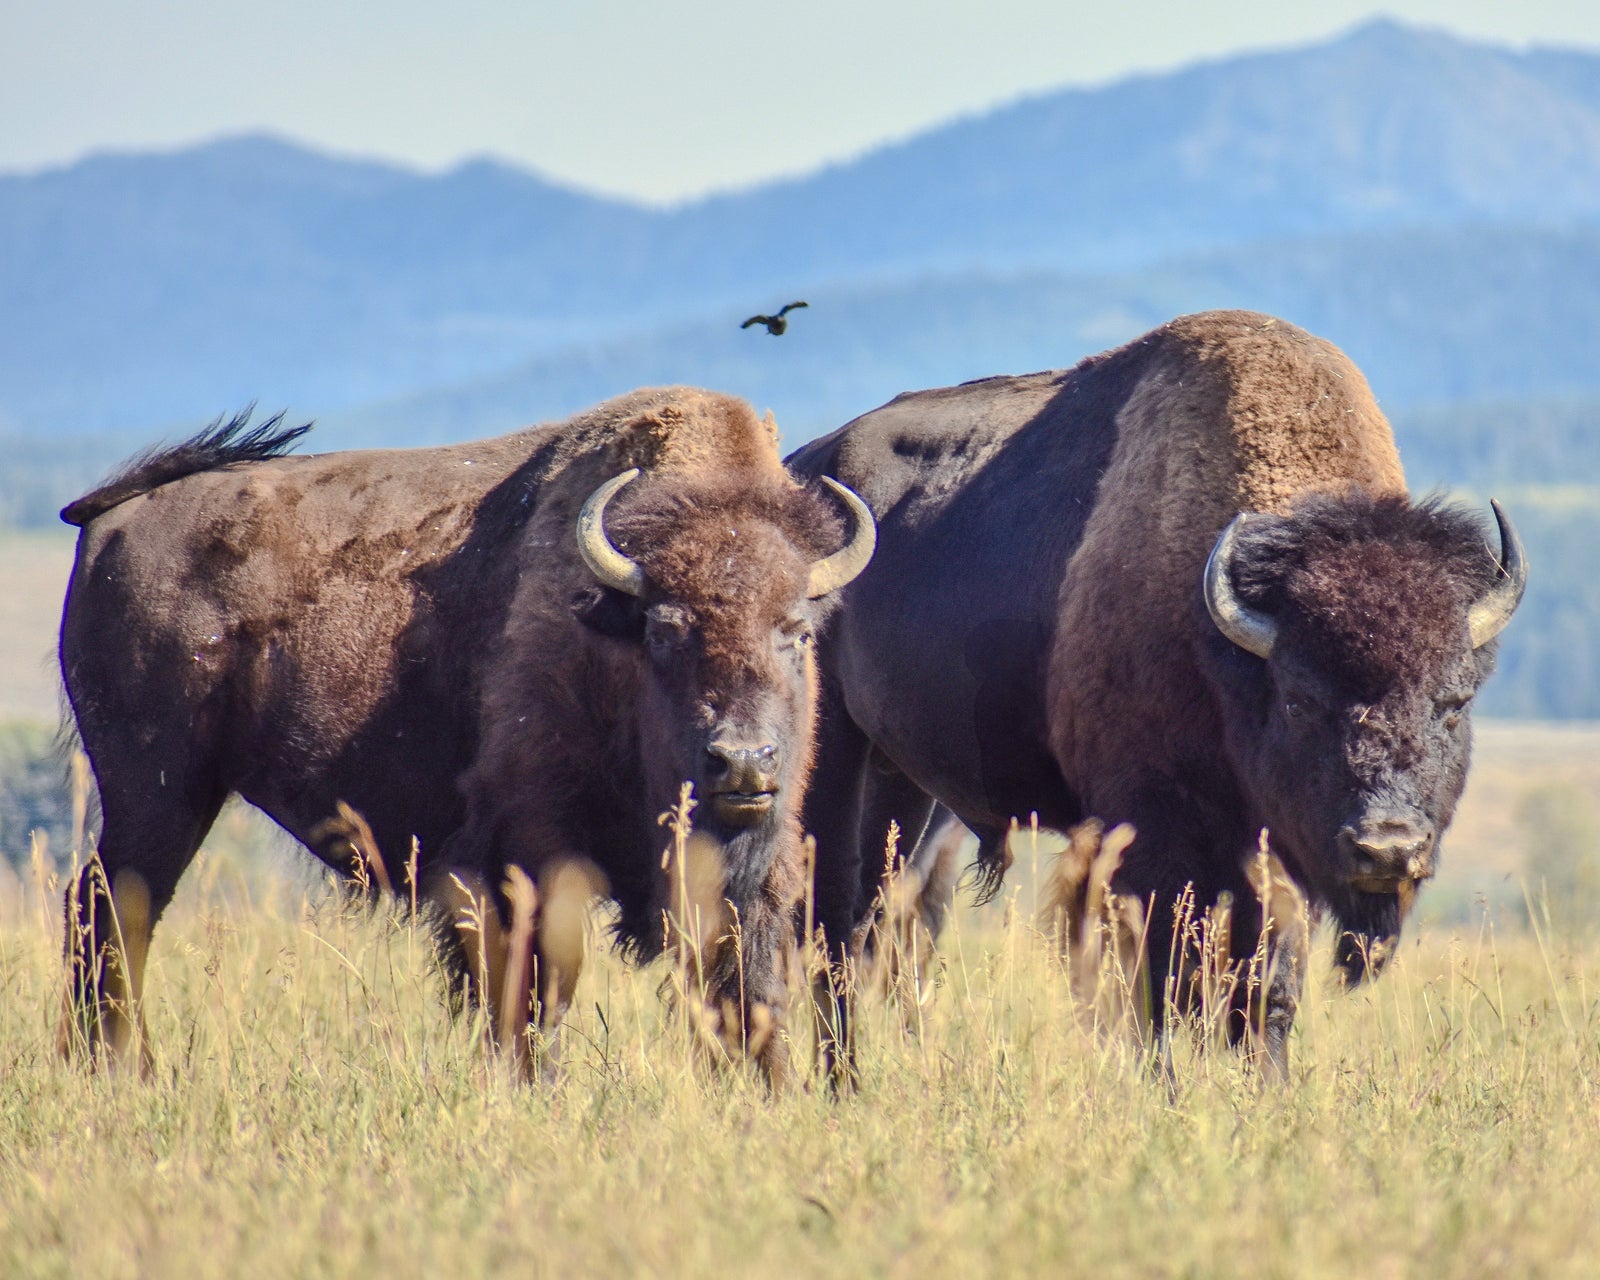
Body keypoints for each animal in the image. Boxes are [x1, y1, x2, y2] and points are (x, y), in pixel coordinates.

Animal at [57, 388, 874, 1083]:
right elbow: (534, 996)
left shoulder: (755, 871)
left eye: (797, 632)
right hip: (155, 796)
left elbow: (749, 990)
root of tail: (112, 522)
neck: (604, 638)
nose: (743, 762)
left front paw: (771, 1092)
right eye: (665, 631)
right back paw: (121, 1069)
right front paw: (532, 1086)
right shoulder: (528, 857)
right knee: (112, 910)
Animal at [786, 310, 1525, 1078]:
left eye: (1455, 703)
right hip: (831, 760)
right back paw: (842, 1082)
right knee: (832, 921)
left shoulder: (1277, 859)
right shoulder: (1155, 834)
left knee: (871, 919)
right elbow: (1168, 987)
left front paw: (1268, 1087)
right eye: (1299, 699)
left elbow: (1267, 989)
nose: (1387, 848)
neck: (1224, 646)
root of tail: (804, 466)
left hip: (904, 786)